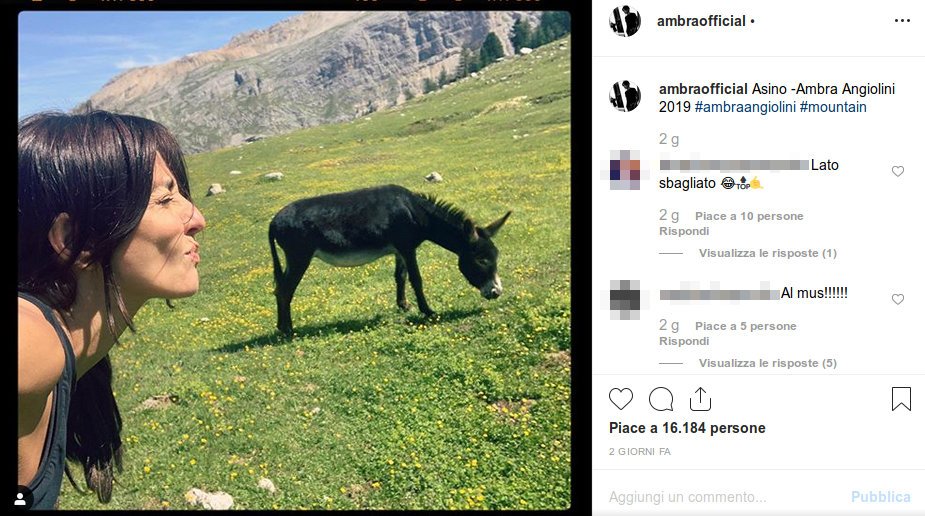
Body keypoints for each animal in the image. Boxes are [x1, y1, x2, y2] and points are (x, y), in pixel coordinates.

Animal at [268, 184, 511, 335]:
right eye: (481, 260)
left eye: (495, 257)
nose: (496, 292)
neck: (414, 211)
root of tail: (273, 222)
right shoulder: (407, 248)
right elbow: (416, 279)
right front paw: (428, 312)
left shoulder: (399, 250)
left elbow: (400, 276)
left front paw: (403, 305)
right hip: (300, 257)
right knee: (284, 290)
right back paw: (288, 330)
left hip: (293, 259)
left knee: (279, 289)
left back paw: (282, 327)